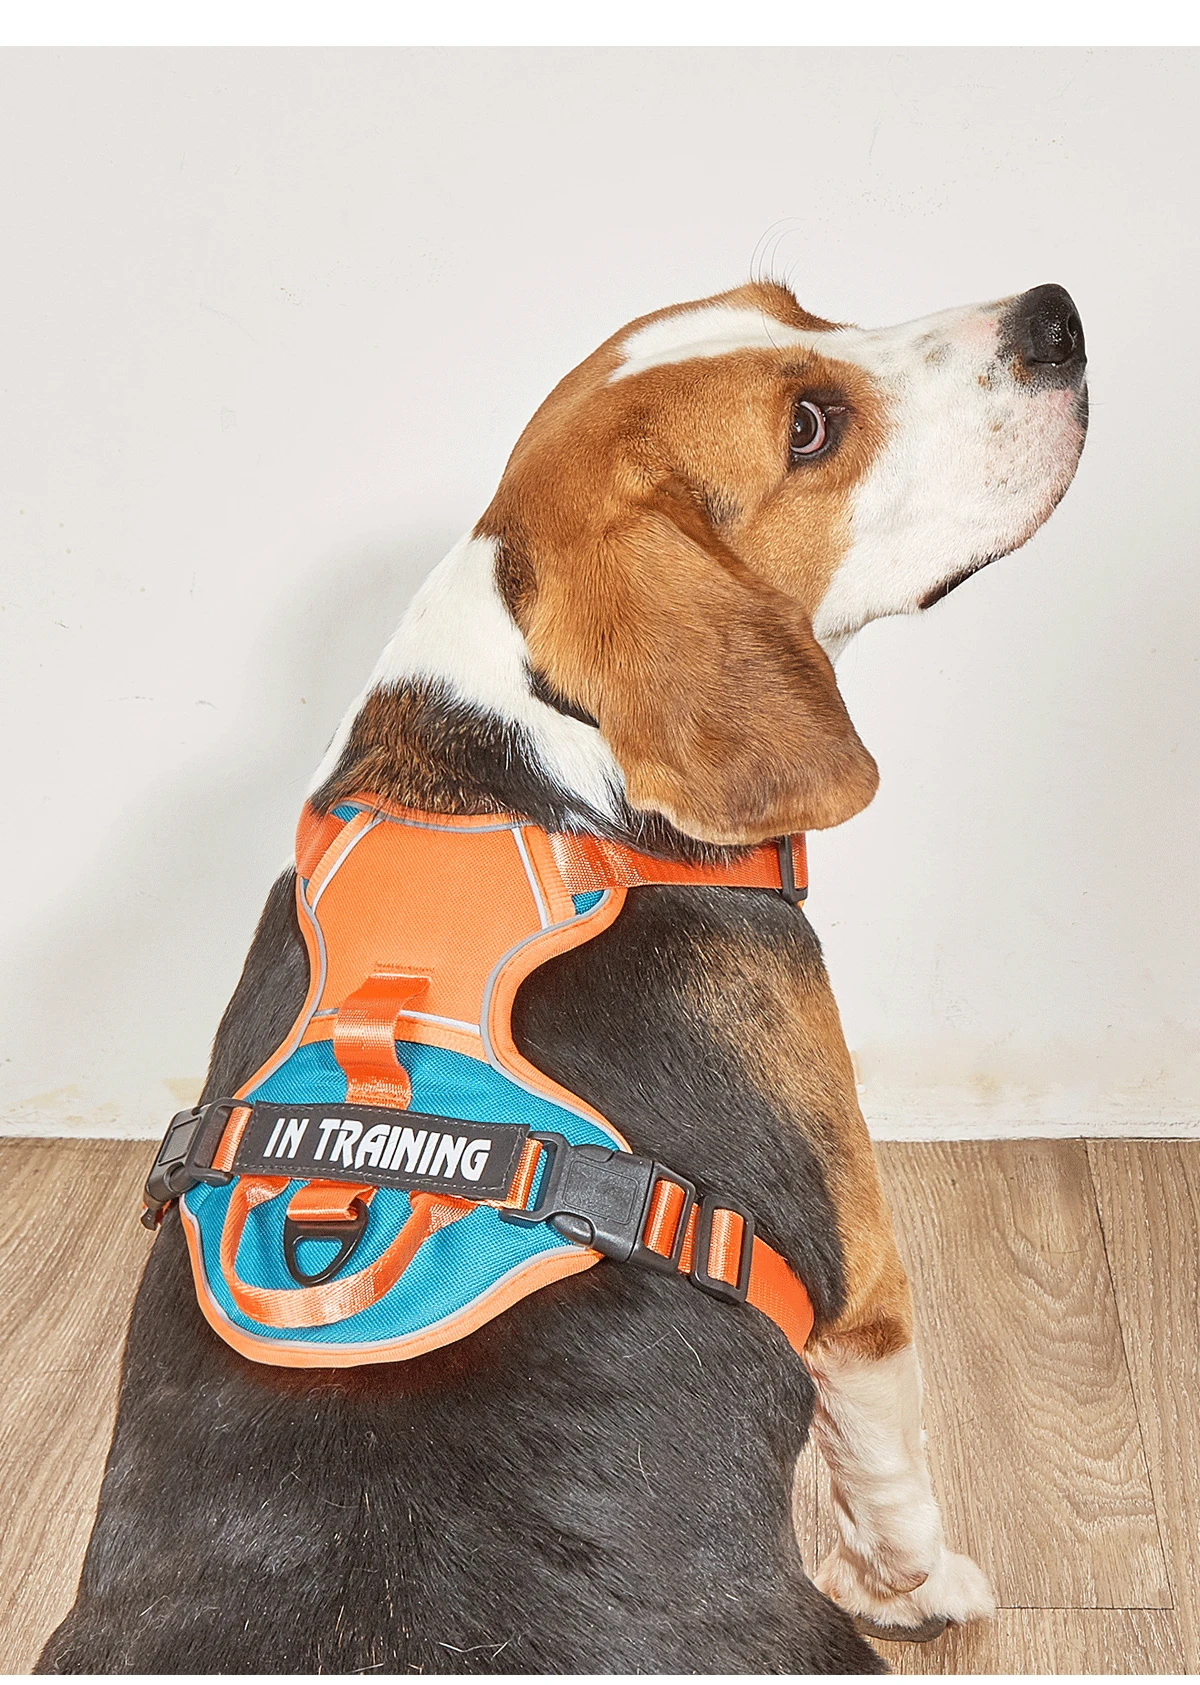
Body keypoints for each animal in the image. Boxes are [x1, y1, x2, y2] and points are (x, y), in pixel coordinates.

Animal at [38, 278, 1087, 1674]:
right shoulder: (864, 1286)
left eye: (798, 304)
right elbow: (888, 1466)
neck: (525, 754)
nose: (1055, 317)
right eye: (810, 427)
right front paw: (919, 1582)